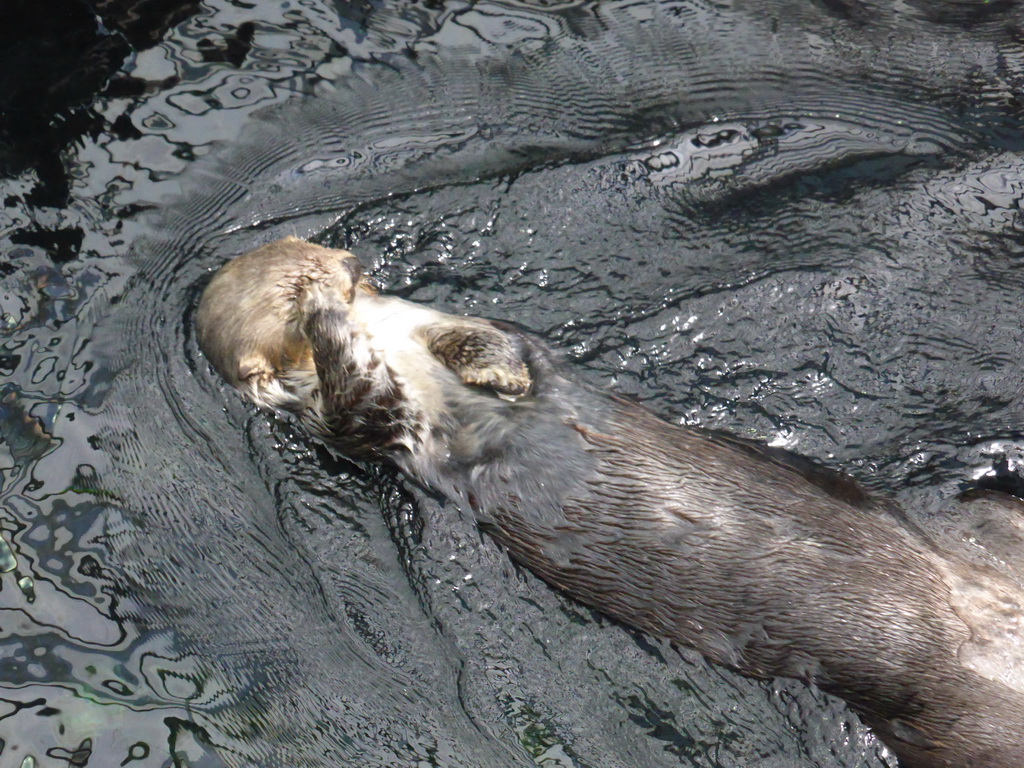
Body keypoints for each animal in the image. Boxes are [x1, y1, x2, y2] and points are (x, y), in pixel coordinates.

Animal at [195, 237, 1024, 765]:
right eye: (294, 289)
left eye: (332, 256)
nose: (347, 269)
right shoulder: (364, 426)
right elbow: (357, 389)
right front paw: (331, 326)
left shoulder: (443, 327)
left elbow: (499, 338)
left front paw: (493, 366)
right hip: (952, 727)